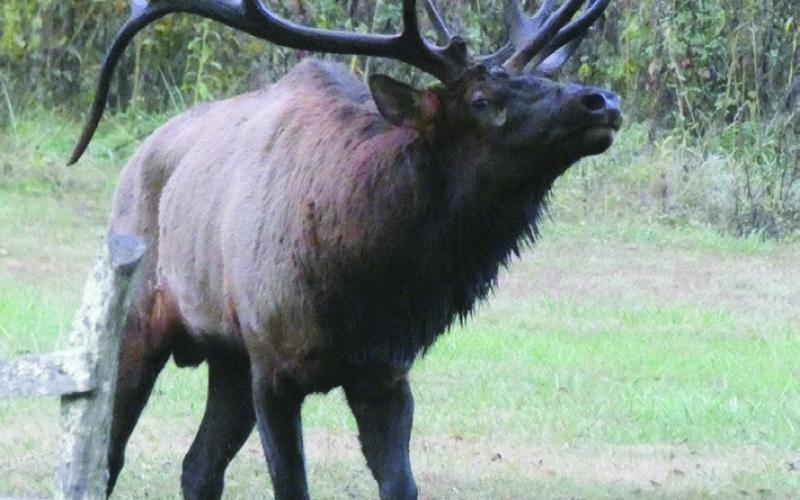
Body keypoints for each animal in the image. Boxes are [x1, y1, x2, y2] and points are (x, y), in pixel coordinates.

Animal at [68, 0, 621, 498]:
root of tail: (139, 156)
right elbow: (292, 486)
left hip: (228, 355)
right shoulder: (273, 369)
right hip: (140, 320)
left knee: (198, 468)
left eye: (547, 77)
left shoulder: (384, 373)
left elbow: (401, 485)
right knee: (108, 455)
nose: (602, 101)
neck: (361, 283)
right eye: (482, 99)